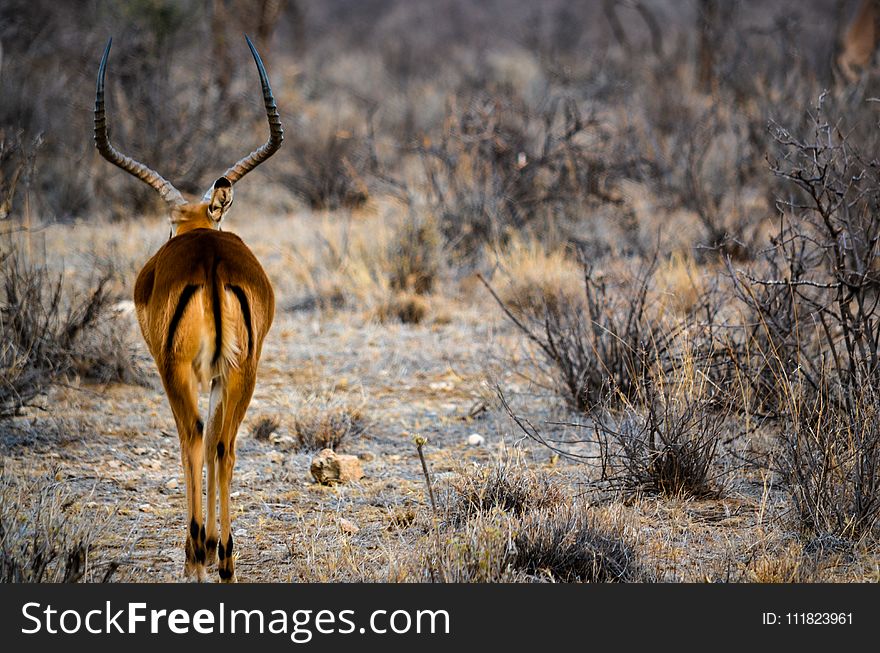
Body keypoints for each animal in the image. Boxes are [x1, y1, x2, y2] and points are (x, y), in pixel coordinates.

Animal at [92, 34, 282, 580]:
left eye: (168, 228)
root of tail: (211, 262)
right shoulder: (221, 374)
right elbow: (220, 442)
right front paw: (219, 549)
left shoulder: (174, 370)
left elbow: (187, 442)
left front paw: (197, 549)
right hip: (244, 370)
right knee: (224, 444)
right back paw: (225, 558)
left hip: (177, 371)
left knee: (194, 439)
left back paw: (197, 553)